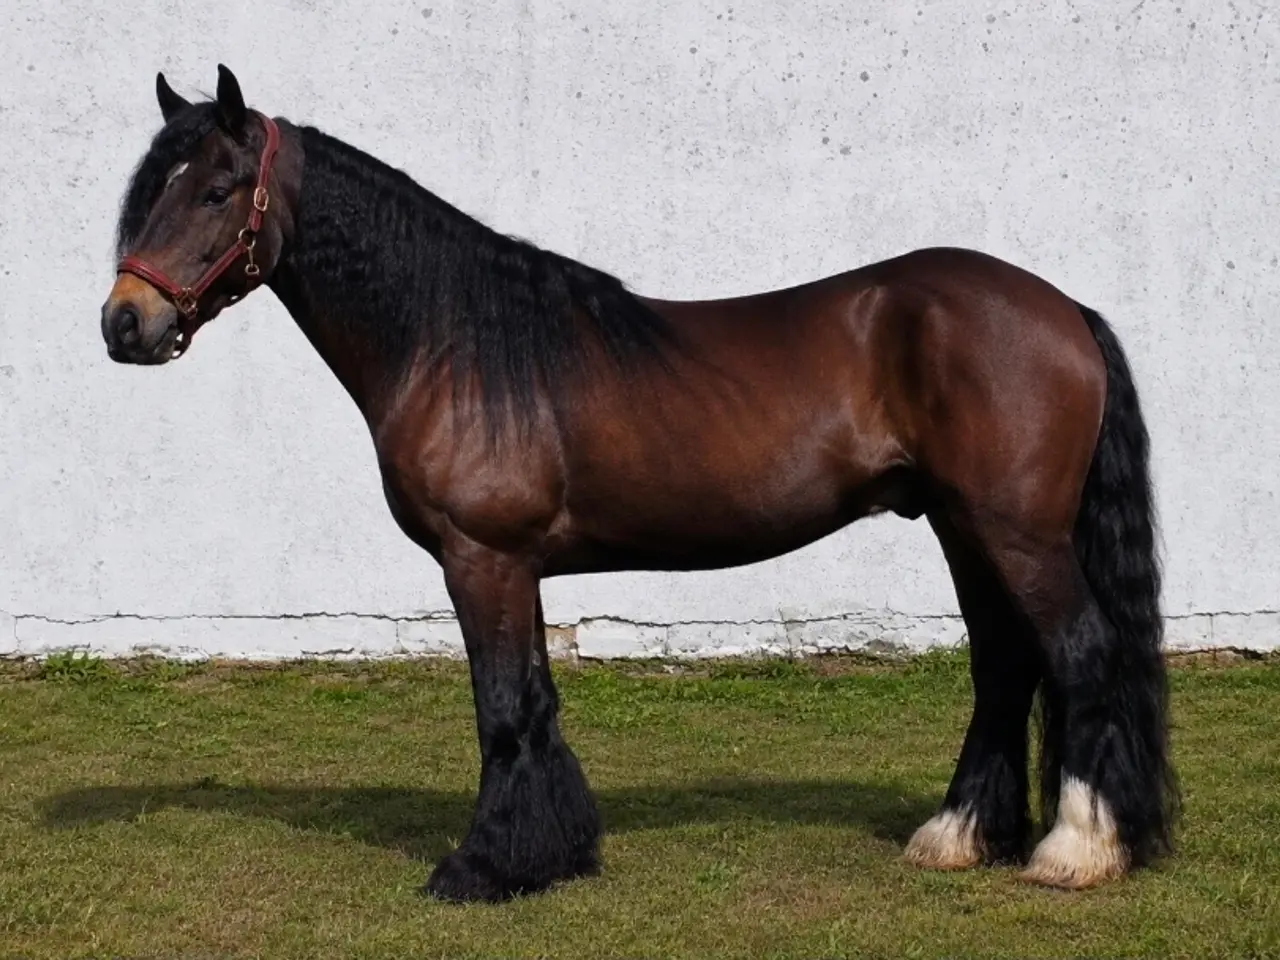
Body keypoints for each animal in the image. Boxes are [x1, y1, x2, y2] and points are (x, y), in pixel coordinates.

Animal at [98, 65, 1177, 903]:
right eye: (152, 187)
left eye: (217, 190)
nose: (125, 324)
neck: (456, 341)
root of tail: (1062, 309)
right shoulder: (513, 568)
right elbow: (532, 701)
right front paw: (552, 852)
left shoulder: (482, 560)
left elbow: (503, 709)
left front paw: (482, 868)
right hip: (960, 525)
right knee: (1003, 662)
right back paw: (955, 839)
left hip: (1015, 531)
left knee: (1078, 651)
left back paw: (1075, 850)